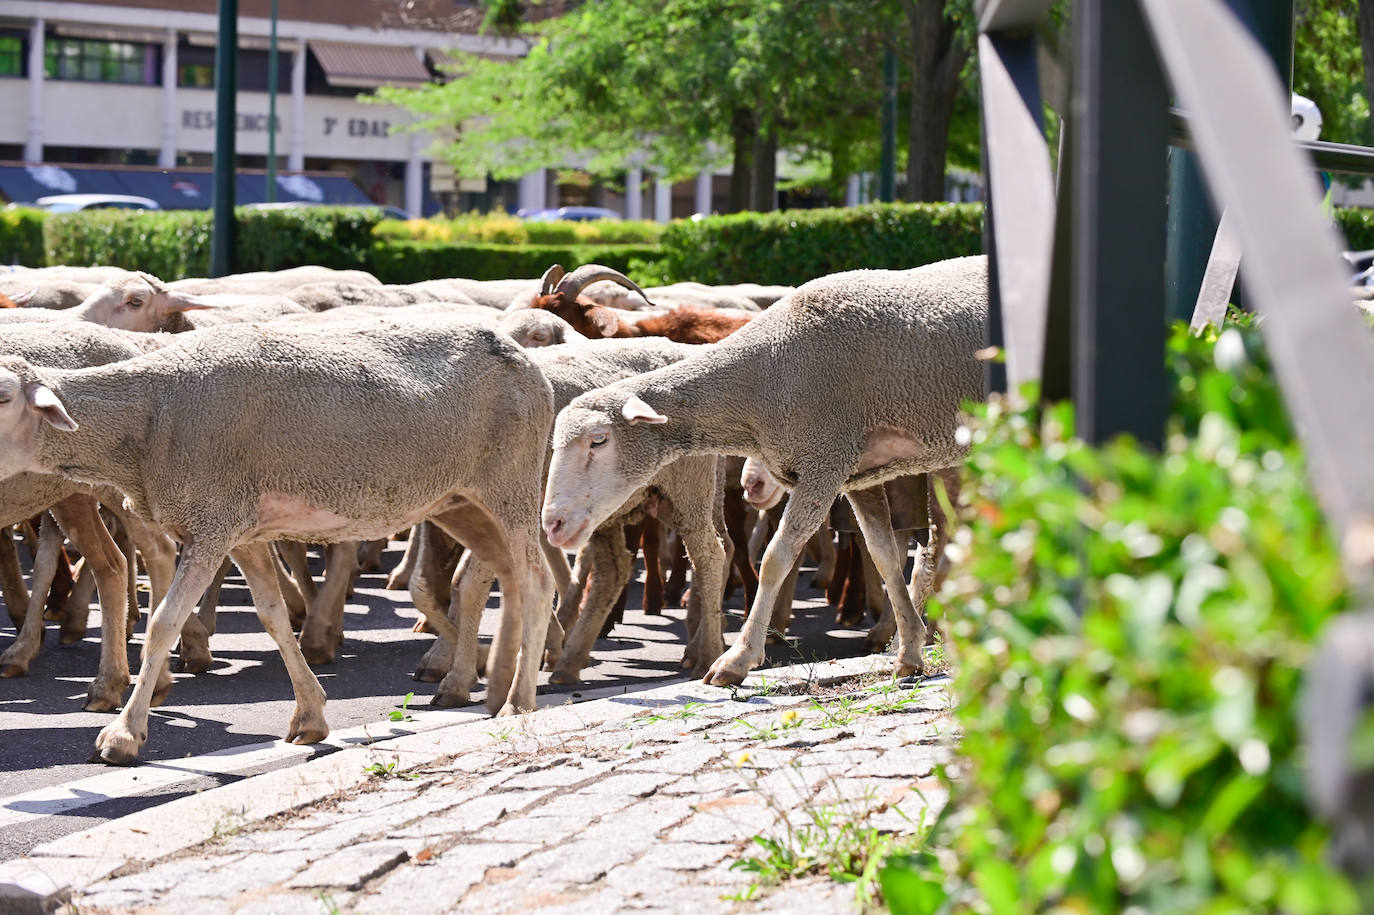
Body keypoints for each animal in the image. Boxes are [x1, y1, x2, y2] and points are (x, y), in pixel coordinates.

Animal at [1, 317, 557, 758]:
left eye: (3, 397)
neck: (154, 416)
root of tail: (527, 363)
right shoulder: (240, 530)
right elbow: (271, 616)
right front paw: (310, 716)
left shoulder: (212, 522)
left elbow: (163, 625)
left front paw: (123, 735)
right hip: (459, 501)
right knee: (507, 576)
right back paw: (490, 680)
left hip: (510, 484)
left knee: (536, 579)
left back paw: (517, 703)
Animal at [541, 252, 983, 681]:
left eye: (599, 440)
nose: (553, 523)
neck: (765, 376)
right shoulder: (859, 473)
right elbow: (885, 556)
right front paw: (908, 653)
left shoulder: (824, 464)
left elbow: (775, 559)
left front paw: (736, 660)